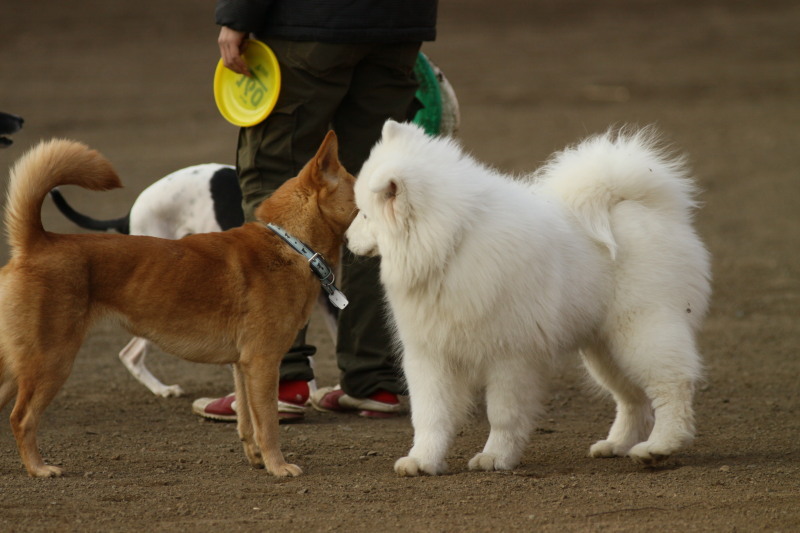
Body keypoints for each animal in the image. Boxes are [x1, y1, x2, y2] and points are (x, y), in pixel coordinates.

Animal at [0, 131, 356, 476]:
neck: (291, 244)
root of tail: (37, 242)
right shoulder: (263, 362)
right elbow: (267, 424)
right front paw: (278, 467)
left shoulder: (243, 365)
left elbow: (246, 422)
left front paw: (257, 459)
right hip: (51, 361)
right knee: (22, 418)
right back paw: (39, 468)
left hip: (18, 367)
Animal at [346, 119, 708, 474]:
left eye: (364, 214)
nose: (345, 239)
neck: (454, 242)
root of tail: (638, 202)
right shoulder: (431, 354)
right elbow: (430, 416)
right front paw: (423, 460)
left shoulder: (510, 355)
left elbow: (503, 415)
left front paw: (495, 457)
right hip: (606, 348)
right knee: (632, 399)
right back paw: (617, 445)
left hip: (642, 330)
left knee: (671, 387)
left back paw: (659, 446)